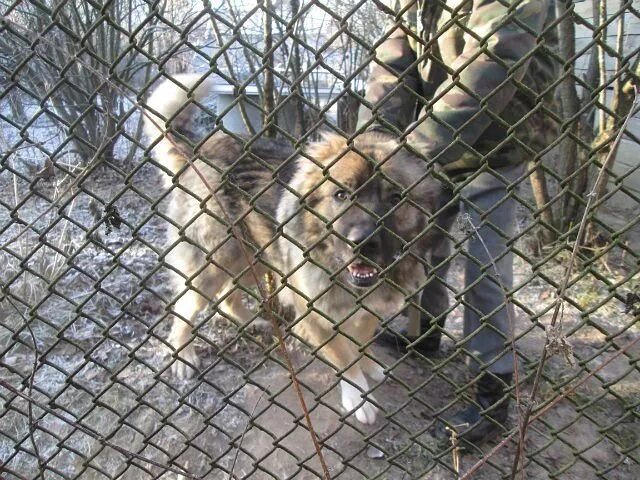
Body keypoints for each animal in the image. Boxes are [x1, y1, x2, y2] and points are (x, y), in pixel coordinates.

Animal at [143, 77, 440, 426]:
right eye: (341, 195)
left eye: (395, 198)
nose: (362, 242)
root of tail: (201, 146)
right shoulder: (315, 316)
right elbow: (344, 356)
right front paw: (357, 395)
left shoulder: (370, 310)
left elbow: (362, 342)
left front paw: (368, 366)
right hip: (214, 260)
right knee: (184, 309)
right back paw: (183, 356)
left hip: (254, 255)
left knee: (228, 297)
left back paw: (253, 321)